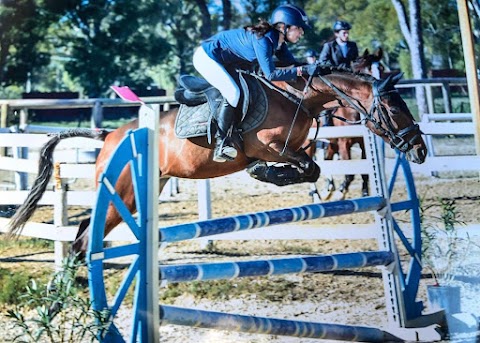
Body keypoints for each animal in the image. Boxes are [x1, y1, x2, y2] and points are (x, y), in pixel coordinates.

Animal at [6, 66, 428, 256]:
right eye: (394, 108)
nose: (420, 150)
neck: (296, 97)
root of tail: (108, 136)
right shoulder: (269, 146)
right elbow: (306, 167)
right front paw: (267, 173)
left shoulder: (292, 148)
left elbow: (312, 167)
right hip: (121, 193)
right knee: (82, 238)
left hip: (139, 193)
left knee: (86, 232)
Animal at [306, 47, 384, 202]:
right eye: (369, 69)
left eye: (382, 68)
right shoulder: (344, 143)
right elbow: (350, 173)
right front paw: (341, 192)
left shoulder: (363, 144)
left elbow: (364, 172)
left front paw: (364, 193)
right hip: (310, 142)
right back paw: (316, 195)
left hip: (331, 143)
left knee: (328, 160)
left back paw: (327, 190)